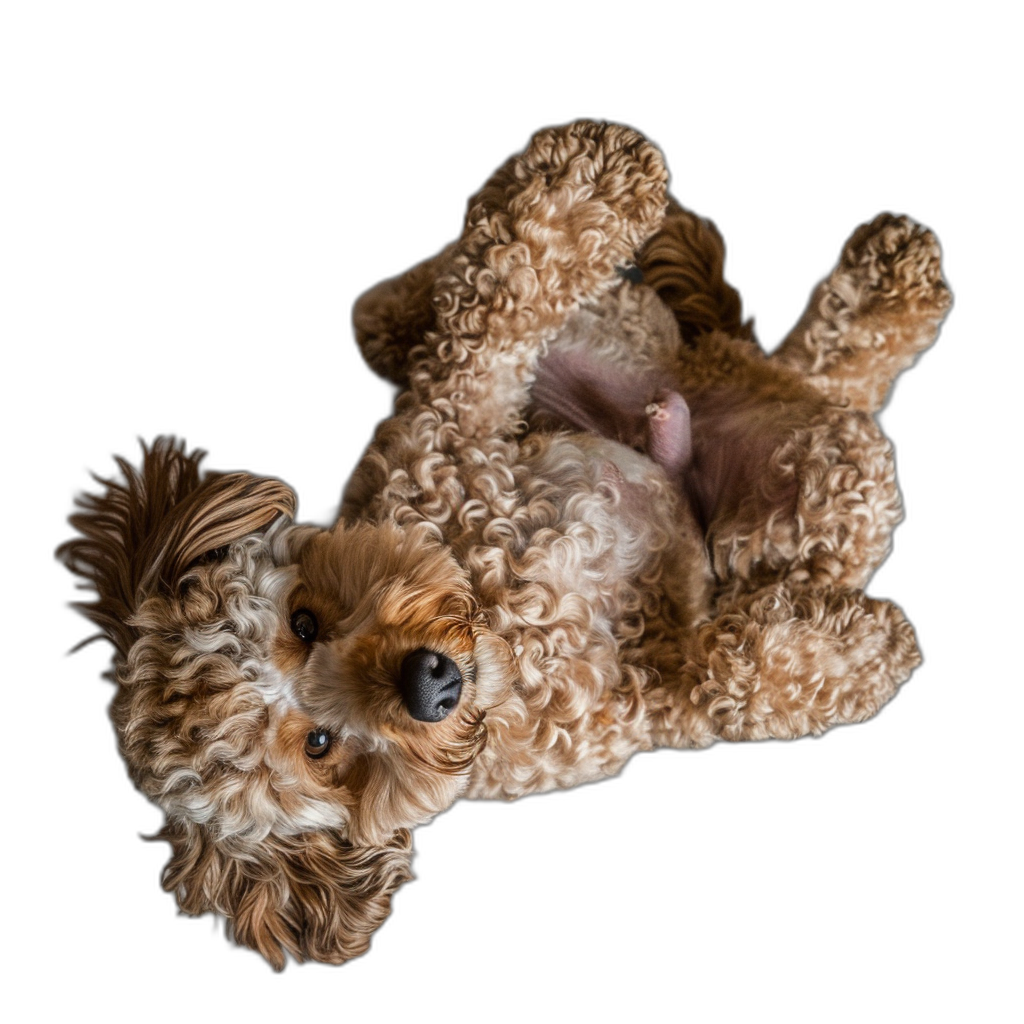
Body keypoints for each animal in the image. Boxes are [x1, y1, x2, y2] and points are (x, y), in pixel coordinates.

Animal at [56, 119, 950, 966]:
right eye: (321, 748)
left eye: (302, 624)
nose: (430, 685)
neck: (506, 618)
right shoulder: (652, 694)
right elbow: (729, 670)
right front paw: (870, 652)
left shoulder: (444, 425)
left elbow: (500, 288)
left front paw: (593, 177)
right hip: (826, 484)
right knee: (834, 398)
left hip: (630, 340)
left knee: (404, 308)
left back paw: (873, 276)